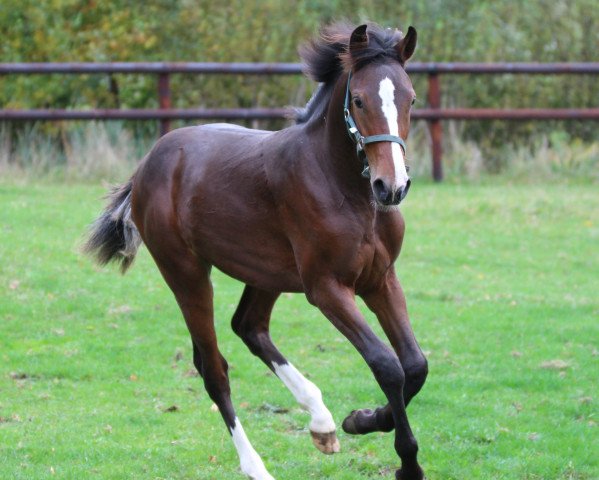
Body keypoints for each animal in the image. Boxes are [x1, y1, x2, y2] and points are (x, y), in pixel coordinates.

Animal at [85, 22, 432, 480]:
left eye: (411, 98)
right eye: (358, 100)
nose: (391, 187)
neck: (346, 188)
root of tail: (146, 165)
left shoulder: (381, 279)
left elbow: (414, 366)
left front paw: (361, 420)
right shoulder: (327, 288)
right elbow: (387, 365)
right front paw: (405, 462)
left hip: (267, 274)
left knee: (248, 326)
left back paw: (322, 424)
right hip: (186, 273)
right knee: (213, 367)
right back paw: (258, 466)